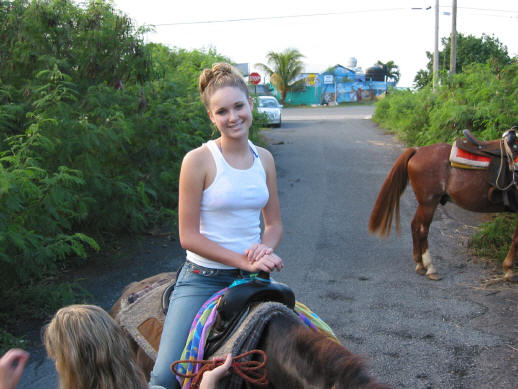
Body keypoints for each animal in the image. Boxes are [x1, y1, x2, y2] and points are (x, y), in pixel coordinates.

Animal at [370, 142, 518, 282]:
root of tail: (418, 150)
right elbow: (516, 239)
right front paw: (509, 270)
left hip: (424, 204)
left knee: (415, 225)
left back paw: (419, 263)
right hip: (429, 203)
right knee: (423, 230)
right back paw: (430, 268)